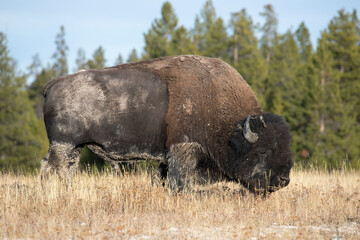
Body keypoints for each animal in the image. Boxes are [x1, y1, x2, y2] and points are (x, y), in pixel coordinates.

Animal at [40, 55, 292, 194]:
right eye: (263, 151)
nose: (283, 180)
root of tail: (54, 83)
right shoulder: (184, 148)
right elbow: (179, 181)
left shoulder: (168, 155)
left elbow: (160, 177)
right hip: (63, 144)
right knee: (52, 167)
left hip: (74, 147)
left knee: (64, 168)